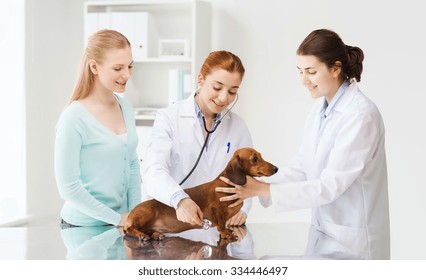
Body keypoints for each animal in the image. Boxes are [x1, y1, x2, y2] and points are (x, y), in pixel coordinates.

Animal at [124, 148, 276, 242]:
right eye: (255, 158)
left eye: (260, 156)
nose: (276, 168)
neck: (228, 184)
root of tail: (131, 214)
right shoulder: (216, 210)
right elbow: (221, 224)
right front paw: (226, 234)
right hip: (146, 214)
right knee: (129, 229)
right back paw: (141, 235)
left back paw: (156, 235)